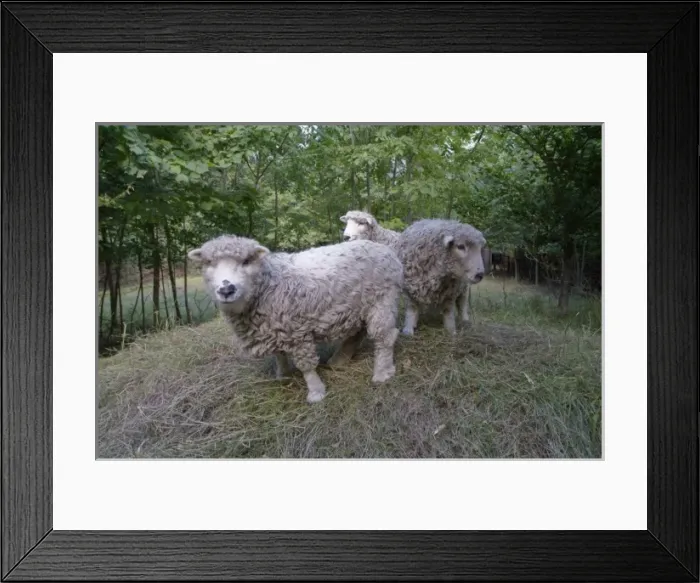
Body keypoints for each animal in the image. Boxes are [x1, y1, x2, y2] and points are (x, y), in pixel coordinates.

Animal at [187, 235, 403, 404]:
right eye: (209, 263)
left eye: (247, 261)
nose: (226, 290)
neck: (268, 284)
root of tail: (387, 251)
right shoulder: (272, 327)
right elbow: (279, 354)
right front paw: (282, 375)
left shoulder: (296, 331)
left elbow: (307, 366)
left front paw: (316, 392)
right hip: (359, 306)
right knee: (358, 332)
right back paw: (340, 360)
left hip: (382, 299)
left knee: (385, 337)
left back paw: (382, 372)